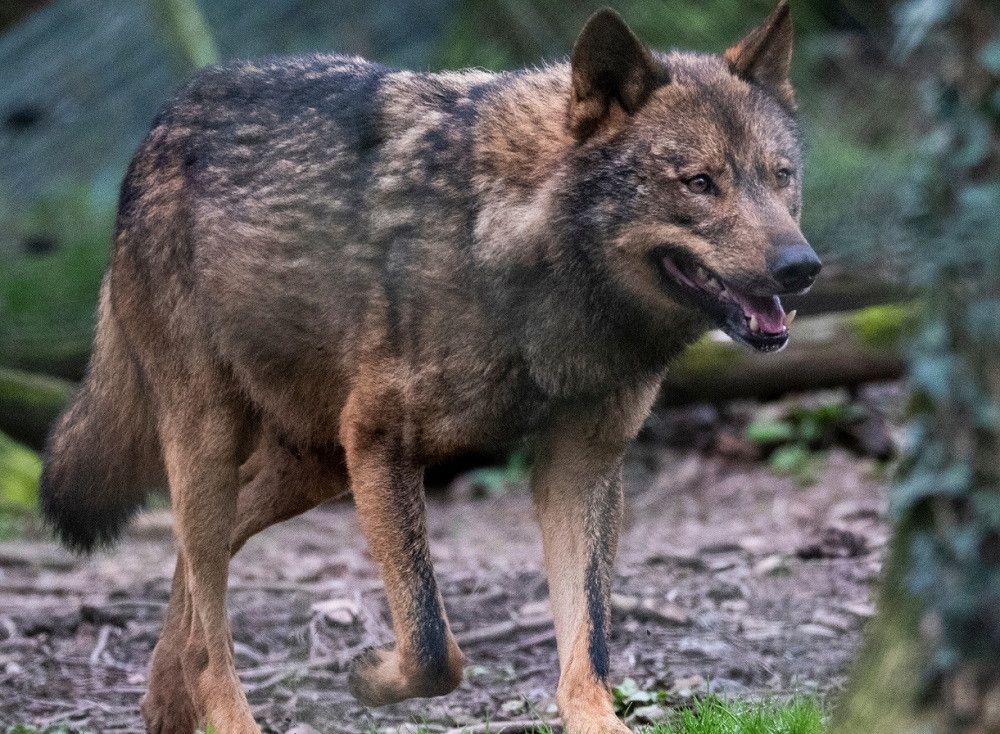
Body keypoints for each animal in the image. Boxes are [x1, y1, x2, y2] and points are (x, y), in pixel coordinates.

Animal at [40, 2, 819, 731]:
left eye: (781, 177)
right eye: (700, 182)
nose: (802, 267)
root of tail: (162, 121)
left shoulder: (581, 464)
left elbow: (588, 644)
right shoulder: (382, 442)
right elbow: (433, 646)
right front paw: (368, 676)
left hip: (313, 466)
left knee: (193, 567)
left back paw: (163, 701)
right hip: (217, 441)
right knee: (210, 621)